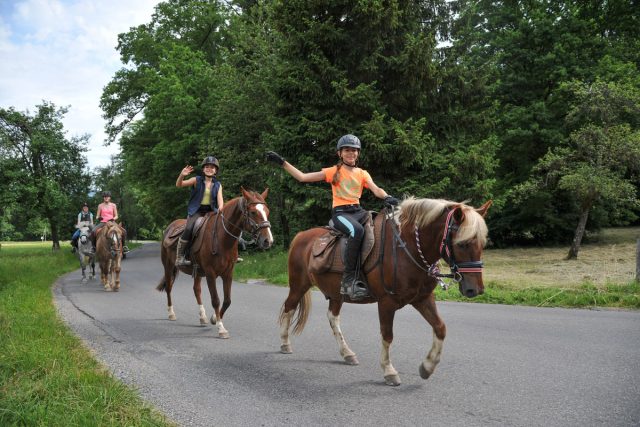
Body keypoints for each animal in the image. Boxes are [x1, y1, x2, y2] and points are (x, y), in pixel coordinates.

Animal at [159, 189, 274, 340]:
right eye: (253, 212)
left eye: (267, 211)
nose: (268, 241)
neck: (222, 238)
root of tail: (170, 226)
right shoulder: (210, 274)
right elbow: (216, 300)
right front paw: (221, 328)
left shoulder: (228, 273)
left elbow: (227, 300)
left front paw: (214, 318)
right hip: (168, 266)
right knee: (169, 287)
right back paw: (171, 313)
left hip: (197, 272)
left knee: (196, 290)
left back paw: (202, 317)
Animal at [278, 199, 492, 386]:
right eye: (462, 243)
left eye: (482, 244)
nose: (475, 289)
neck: (408, 248)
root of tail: (301, 236)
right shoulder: (387, 303)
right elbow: (387, 336)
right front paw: (389, 371)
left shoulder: (423, 299)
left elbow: (440, 328)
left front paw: (427, 367)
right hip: (299, 285)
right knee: (289, 308)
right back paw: (285, 344)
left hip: (337, 294)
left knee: (333, 318)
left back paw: (347, 353)